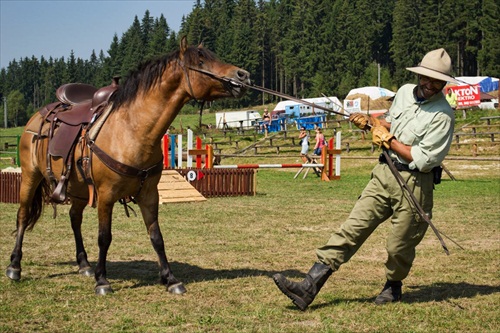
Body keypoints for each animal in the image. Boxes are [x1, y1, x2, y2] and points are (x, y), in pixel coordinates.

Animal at [5, 37, 250, 294]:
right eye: (201, 61)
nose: (243, 75)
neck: (132, 129)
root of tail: (36, 118)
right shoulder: (106, 195)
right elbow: (104, 237)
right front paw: (102, 281)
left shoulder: (149, 194)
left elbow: (156, 236)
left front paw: (170, 278)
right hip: (30, 176)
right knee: (23, 215)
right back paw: (15, 266)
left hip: (79, 188)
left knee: (74, 218)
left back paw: (84, 264)